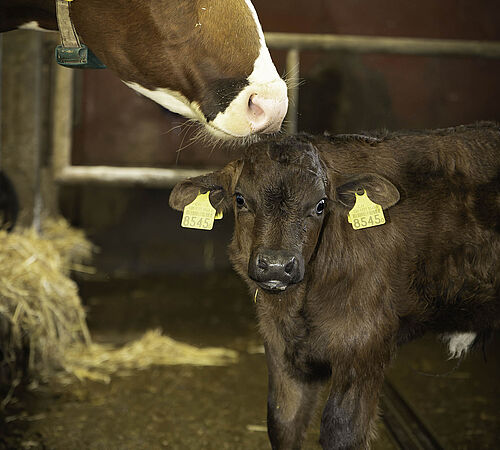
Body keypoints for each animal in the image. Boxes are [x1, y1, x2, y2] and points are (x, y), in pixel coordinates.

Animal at [171, 121, 500, 448]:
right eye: (240, 199)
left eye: (320, 205)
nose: (277, 264)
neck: (299, 308)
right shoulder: (279, 343)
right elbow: (283, 421)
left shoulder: (364, 341)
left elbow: (342, 430)